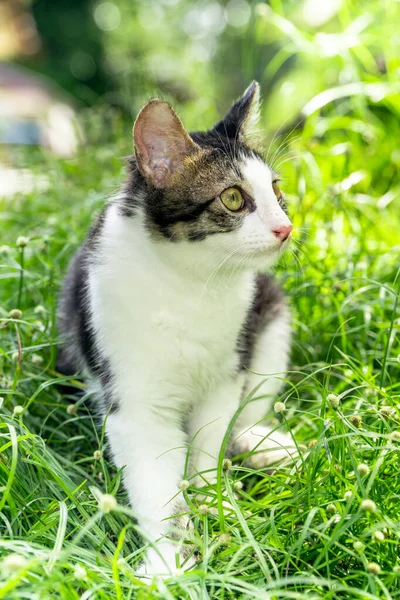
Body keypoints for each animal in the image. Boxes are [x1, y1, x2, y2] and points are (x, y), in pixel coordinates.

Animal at [57, 82, 294, 580]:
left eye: (276, 190)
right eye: (233, 198)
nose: (285, 227)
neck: (191, 283)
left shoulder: (225, 377)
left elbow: (209, 447)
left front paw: (212, 512)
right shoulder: (134, 402)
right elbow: (156, 483)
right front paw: (168, 562)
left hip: (271, 321)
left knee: (245, 418)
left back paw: (263, 446)